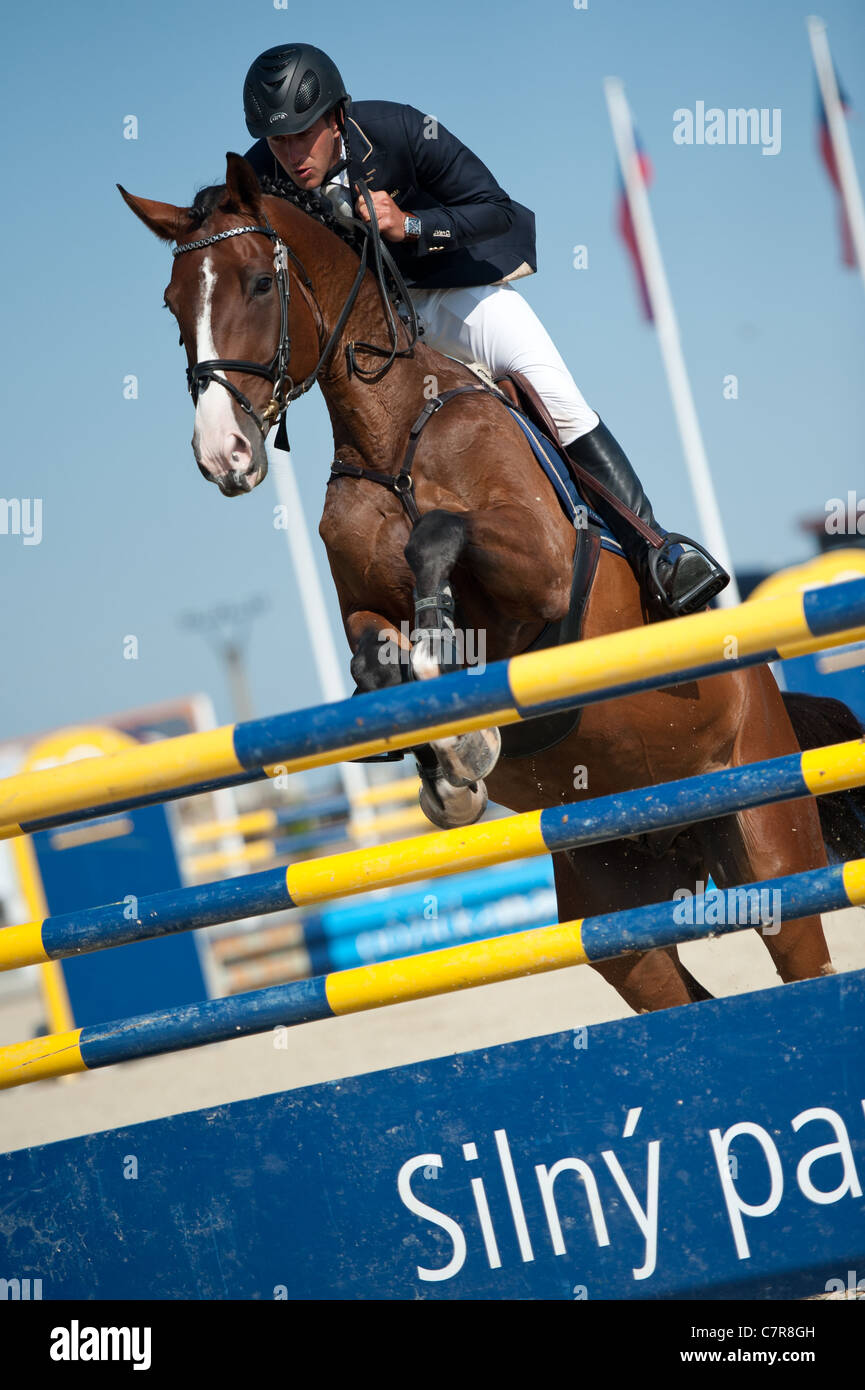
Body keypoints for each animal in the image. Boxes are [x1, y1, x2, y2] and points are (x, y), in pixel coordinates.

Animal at [119, 153, 862, 1014]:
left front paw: (456, 699)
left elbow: (439, 537)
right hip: (614, 904)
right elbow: (377, 660)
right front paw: (450, 763)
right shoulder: (361, 608)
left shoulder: (543, 571)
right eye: (173, 303)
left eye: (258, 284)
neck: (393, 433)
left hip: (767, 847)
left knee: (798, 954)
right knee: (671, 992)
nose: (223, 454)